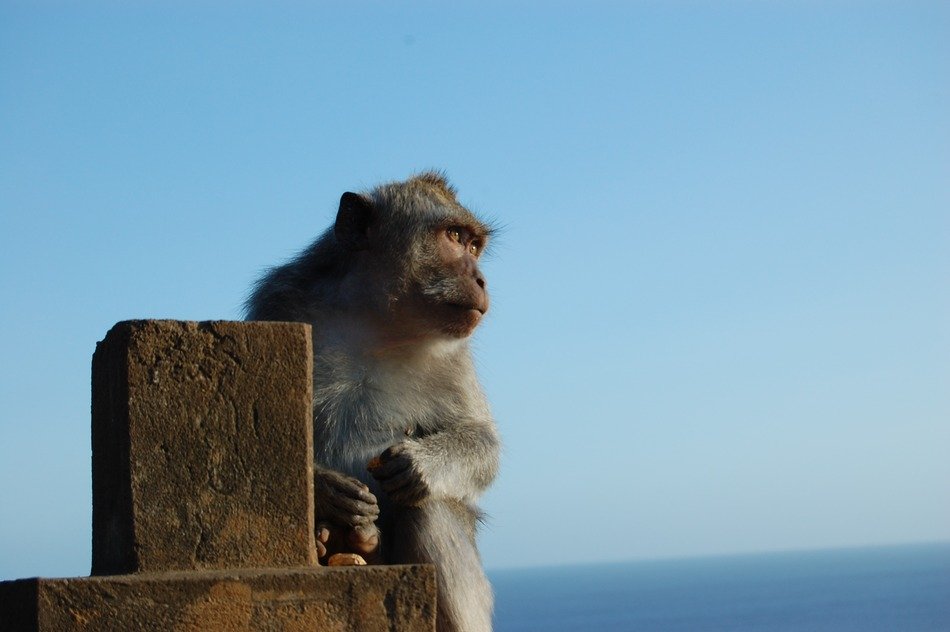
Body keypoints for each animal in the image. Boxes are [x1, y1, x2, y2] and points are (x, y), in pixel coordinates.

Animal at [245, 172, 499, 632]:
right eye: (454, 237)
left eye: (475, 246)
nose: (482, 280)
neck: (377, 321)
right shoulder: (279, 302)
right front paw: (326, 488)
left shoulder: (455, 355)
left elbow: (483, 441)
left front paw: (419, 464)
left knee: (428, 507)